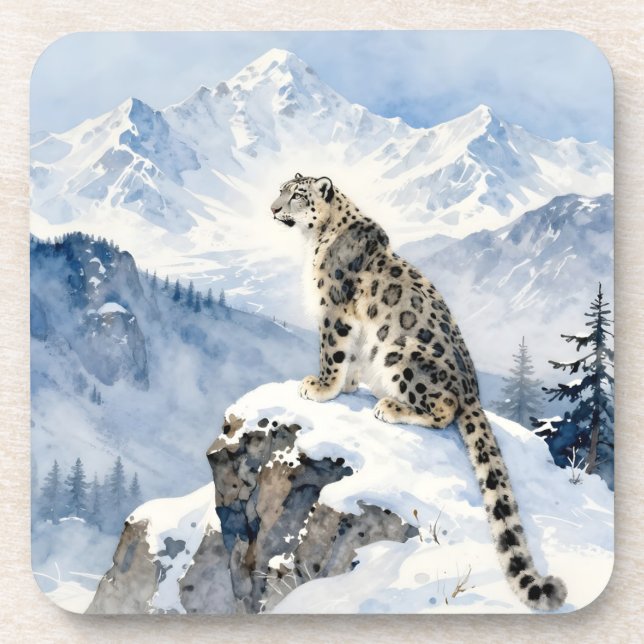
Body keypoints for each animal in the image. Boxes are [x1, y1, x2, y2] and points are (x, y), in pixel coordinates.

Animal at [270, 173, 568, 611]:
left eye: (297, 195)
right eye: (281, 190)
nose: (273, 208)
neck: (315, 239)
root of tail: (473, 390)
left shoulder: (334, 310)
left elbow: (332, 351)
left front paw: (321, 387)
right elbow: (350, 357)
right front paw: (347, 384)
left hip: (403, 355)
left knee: (444, 408)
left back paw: (391, 407)